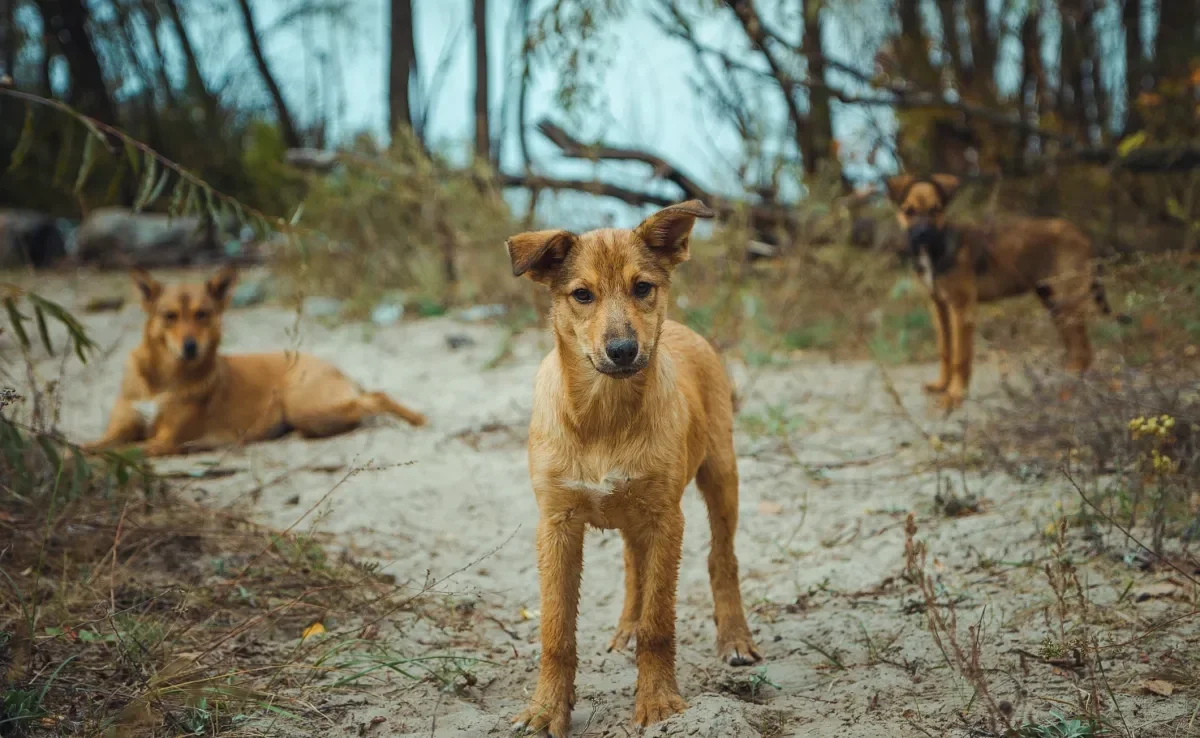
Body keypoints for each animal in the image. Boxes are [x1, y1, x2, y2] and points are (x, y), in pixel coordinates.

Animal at [83, 268, 427, 458]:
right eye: (170, 316)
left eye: (202, 314)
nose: (190, 347)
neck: (163, 378)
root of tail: (333, 366)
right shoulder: (121, 429)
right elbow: (88, 447)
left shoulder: (164, 440)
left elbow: (117, 453)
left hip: (306, 406)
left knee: (376, 397)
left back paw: (417, 419)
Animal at [506, 201, 758, 738]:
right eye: (582, 295)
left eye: (643, 287)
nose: (623, 350)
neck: (605, 415)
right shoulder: (556, 524)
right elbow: (556, 630)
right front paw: (546, 709)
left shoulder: (666, 518)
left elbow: (660, 623)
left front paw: (658, 701)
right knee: (632, 565)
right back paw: (625, 628)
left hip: (720, 474)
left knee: (721, 559)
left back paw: (734, 639)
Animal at [883, 174, 1123, 410]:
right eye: (909, 211)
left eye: (936, 210)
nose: (922, 235)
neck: (936, 248)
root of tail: (1080, 234)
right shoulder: (939, 306)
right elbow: (945, 351)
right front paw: (942, 385)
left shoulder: (962, 308)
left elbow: (960, 356)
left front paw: (954, 395)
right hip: (1053, 301)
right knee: (1075, 345)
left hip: (1067, 299)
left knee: (1083, 349)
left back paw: (1071, 382)